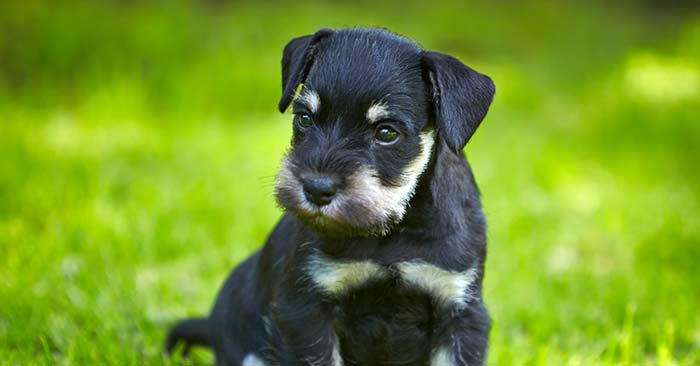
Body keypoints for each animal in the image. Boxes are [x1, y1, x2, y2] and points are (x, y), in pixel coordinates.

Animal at [168, 27, 498, 366]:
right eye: (304, 117)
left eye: (387, 132)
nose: (316, 189)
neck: (391, 232)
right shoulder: (308, 309)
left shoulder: (459, 311)